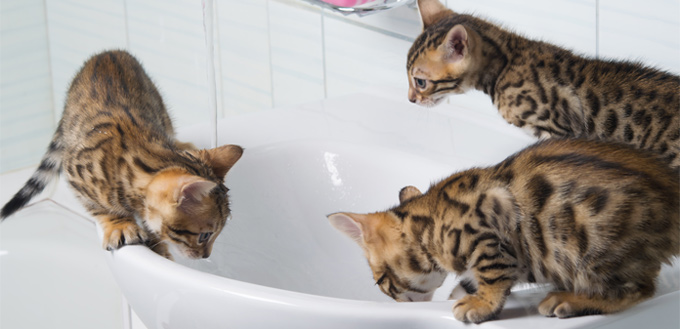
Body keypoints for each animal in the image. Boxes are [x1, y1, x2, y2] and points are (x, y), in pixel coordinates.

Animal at [0, 49, 244, 258]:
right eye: (205, 236)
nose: (206, 256)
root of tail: (109, 52)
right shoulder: (74, 172)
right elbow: (98, 206)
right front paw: (120, 224)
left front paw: (159, 248)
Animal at [326, 138, 676, 322]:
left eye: (381, 282)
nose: (397, 305)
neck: (429, 223)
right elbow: (468, 281)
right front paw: (467, 295)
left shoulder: (487, 236)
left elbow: (493, 275)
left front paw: (481, 305)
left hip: (594, 247)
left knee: (638, 290)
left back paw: (571, 299)